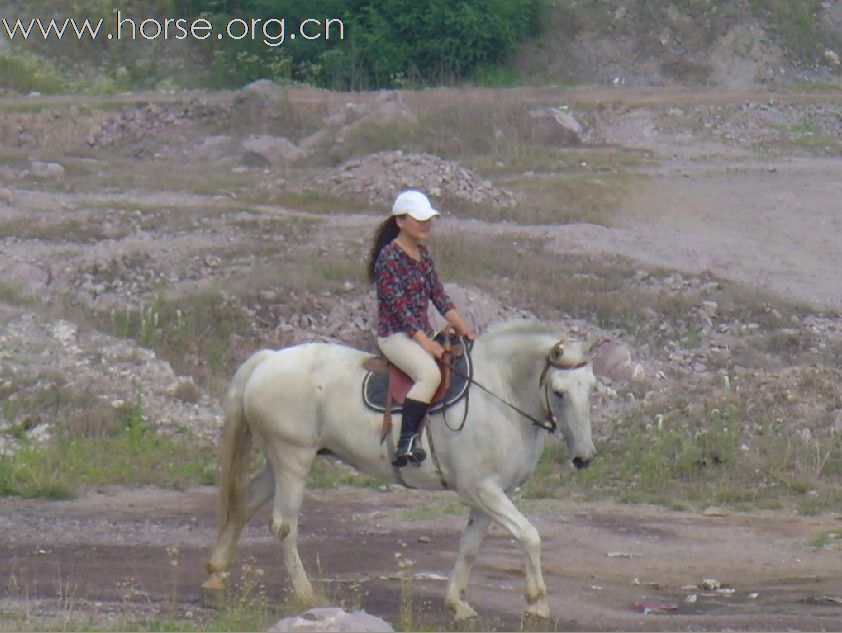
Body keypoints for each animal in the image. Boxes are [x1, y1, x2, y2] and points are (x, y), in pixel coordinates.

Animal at [203, 318, 596, 620]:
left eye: (591, 388)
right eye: (559, 392)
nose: (584, 458)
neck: (499, 394)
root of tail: (268, 360)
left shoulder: (491, 495)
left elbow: (471, 546)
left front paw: (458, 604)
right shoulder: (482, 489)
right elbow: (529, 535)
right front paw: (537, 602)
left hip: (280, 463)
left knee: (244, 505)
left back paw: (216, 575)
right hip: (292, 459)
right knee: (285, 526)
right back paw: (306, 594)